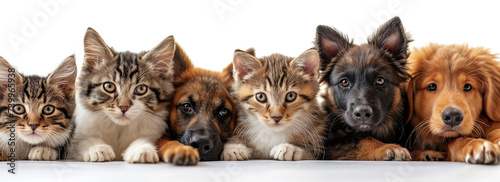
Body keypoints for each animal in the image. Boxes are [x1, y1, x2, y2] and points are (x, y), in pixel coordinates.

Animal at [70, 28, 176, 164]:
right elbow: (83, 140)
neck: (120, 128)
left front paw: (142, 149)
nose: (124, 107)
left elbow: (145, 139)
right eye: (109, 86)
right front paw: (98, 148)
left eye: (141, 89)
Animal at [318, 16, 412, 160]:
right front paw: (386, 147)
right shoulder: (330, 145)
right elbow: (361, 139)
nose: (362, 113)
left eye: (380, 80)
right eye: (344, 82)